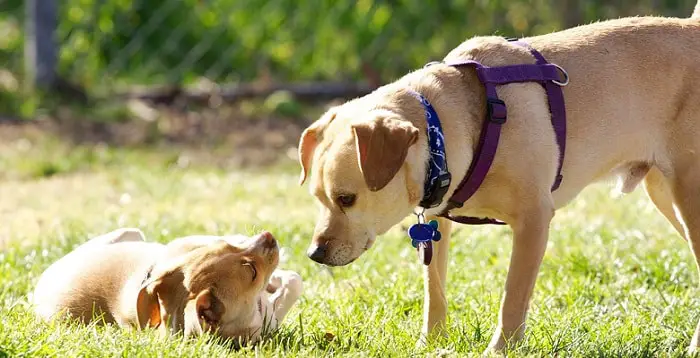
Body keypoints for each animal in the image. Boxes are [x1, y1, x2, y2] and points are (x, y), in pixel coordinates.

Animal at [298, 4, 700, 354]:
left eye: (347, 199)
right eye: (318, 198)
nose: (314, 254)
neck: (446, 125)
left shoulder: (534, 220)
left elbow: (513, 296)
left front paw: (500, 349)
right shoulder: (436, 222)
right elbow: (434, 291)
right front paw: (431, 343)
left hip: (689, 197)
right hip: (665, 196)